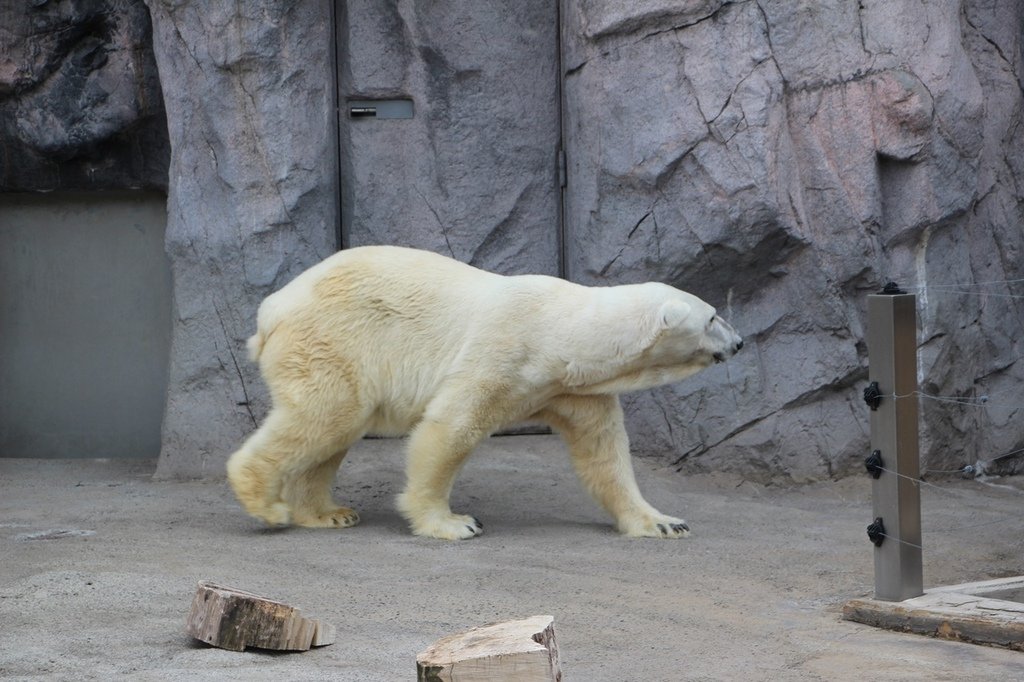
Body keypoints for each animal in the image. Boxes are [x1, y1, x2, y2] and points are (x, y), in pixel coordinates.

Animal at [224, 242, 741, 536]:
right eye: (713, 316)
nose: (738, 341)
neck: (562, 331)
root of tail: (271, 309)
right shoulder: (505, 351)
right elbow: (451, 428)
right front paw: (453, 523)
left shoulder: (569, 388)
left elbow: (604, 451)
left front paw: (664, 522)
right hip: (334, 340)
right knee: (325, 415)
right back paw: (267, 506)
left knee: (334, 430)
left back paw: (328, 513)